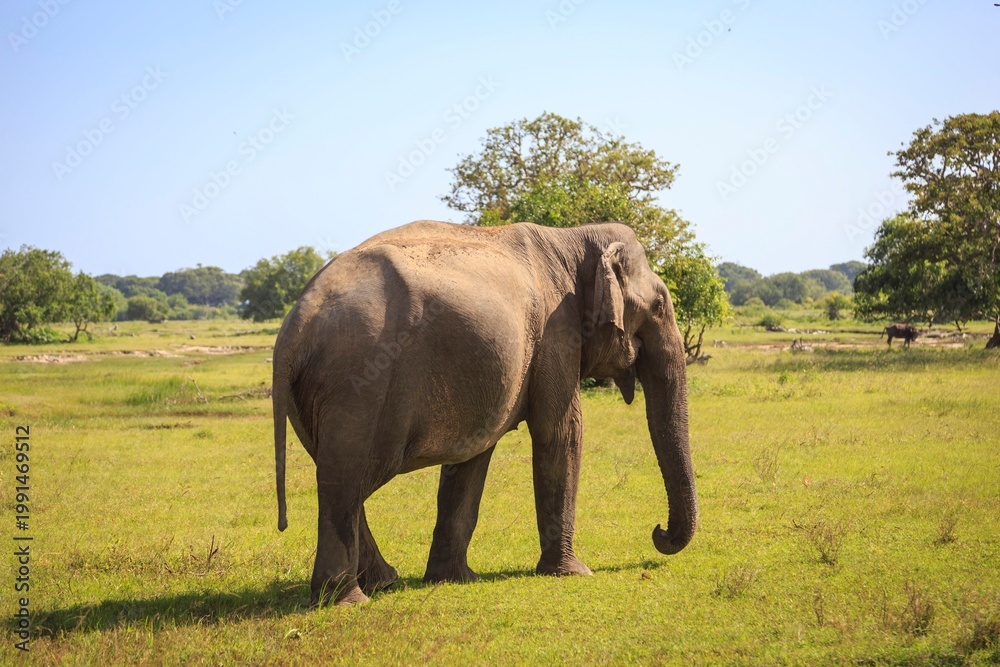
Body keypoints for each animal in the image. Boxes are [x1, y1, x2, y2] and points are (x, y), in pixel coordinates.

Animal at [272, 220, 698, 606]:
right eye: (660, 305)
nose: (659, 532)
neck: (575, 237)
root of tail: (296, 322)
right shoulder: (556, 333)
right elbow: (561, 432)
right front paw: (574, 573)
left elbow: (473, 456)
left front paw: (455, 579)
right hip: (358, 382)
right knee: (347, 478)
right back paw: (349, 600)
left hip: (313, 397)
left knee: (338, 472)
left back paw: (383, 582)